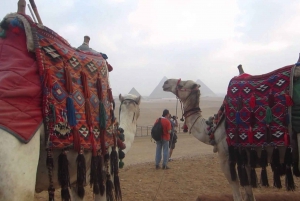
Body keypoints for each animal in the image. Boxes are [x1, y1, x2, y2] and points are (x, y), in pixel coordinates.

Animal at [163, 75, 300, 201]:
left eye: (181, 85)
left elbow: (237, 193)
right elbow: (249, 194)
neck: (212, 128)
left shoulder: (227, 158)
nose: (165, 83)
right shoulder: (245, 160)